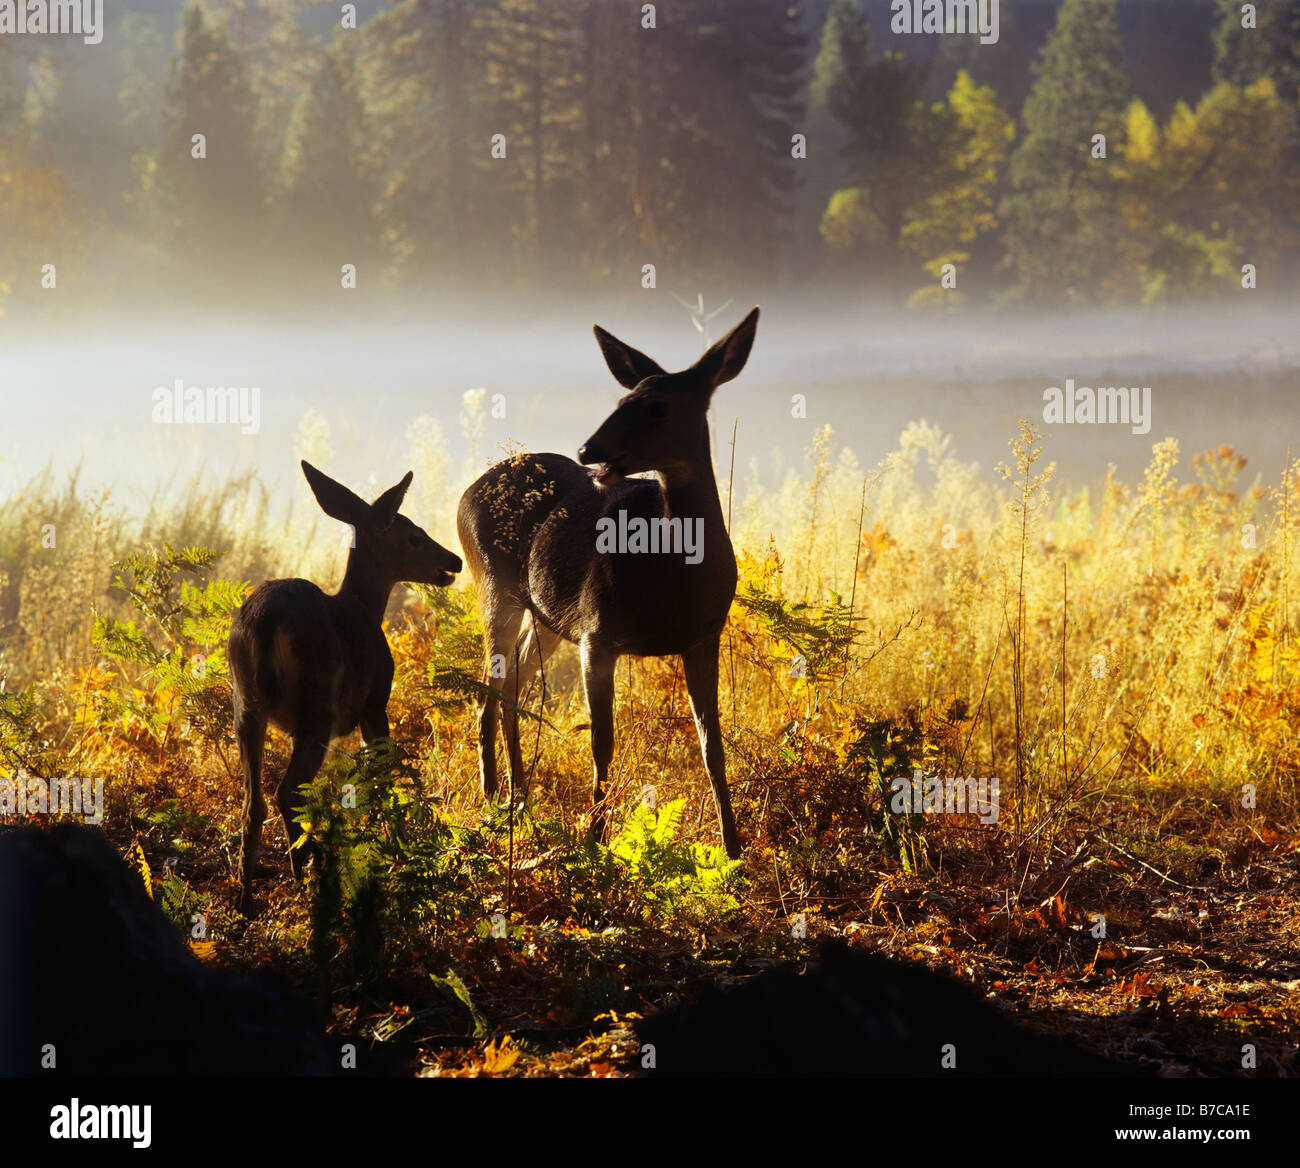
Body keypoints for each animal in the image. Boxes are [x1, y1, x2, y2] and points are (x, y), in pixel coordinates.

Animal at [230, 463, 462, 910]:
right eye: (415, 535)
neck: (365, 608)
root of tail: (265, 621)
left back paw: (246, 900)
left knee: (253, 802)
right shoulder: (375, 704)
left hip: (246, 704)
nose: (454, 560)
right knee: (288, 791)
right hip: (318, 707)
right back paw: (305, 875)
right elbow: (384, 778)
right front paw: (398, 848)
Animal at [460, 304, 759, 858]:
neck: (673, 574)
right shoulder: (597, 633)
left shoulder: (705, 636)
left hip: (548, 614)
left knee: (514, 684)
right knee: (491, 688)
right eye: (621, 399)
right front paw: (594, 842)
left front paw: (734, 850)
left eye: (658, 407)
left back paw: (519, 798)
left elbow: (713, 746)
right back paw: (492, 797)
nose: (588, 448)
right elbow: (602, 742)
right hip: (494, 585)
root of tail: (469, 490)